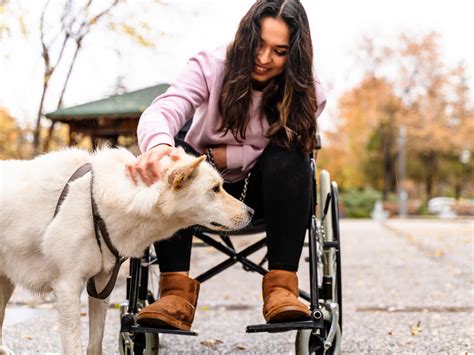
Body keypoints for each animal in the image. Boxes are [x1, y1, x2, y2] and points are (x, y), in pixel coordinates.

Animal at [0, 146, 254, 354]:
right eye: (215, 189)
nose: (251, 212)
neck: (97, 202)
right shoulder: (67, 288)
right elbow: (76, 346)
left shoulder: (101, 285)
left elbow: (95, 344)